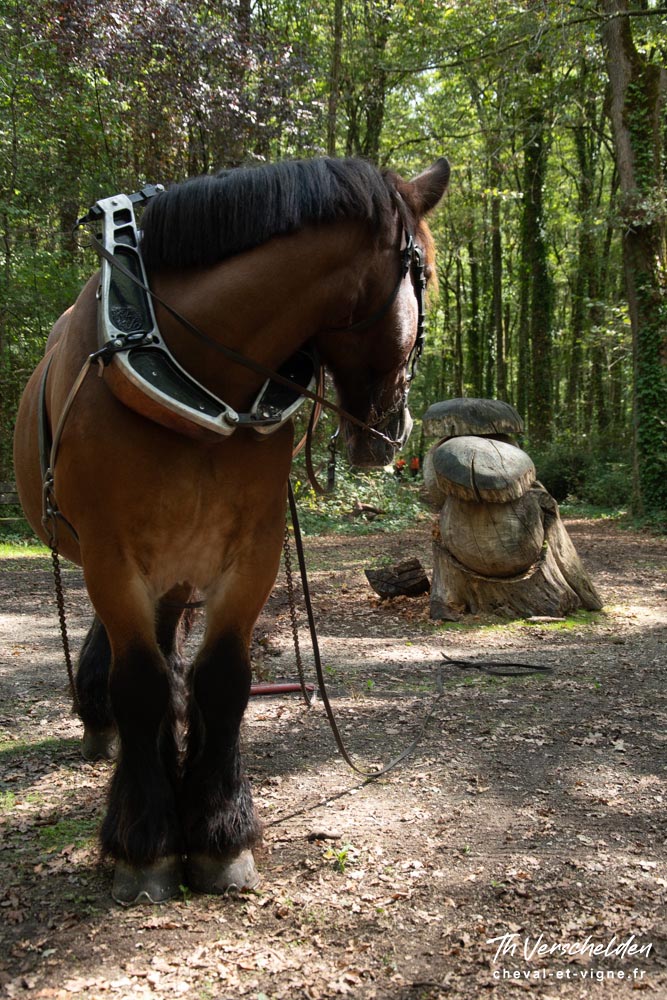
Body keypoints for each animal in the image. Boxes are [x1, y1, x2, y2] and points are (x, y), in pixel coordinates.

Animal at [13, 155, 450, 904]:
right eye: (425, 279)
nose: (395, 428)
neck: (189, 366)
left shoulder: (252, 552)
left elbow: (220, 681)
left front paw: (219, 833)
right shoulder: (110, 554)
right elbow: (142, 684)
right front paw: (145, 843)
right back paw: (105, 727)